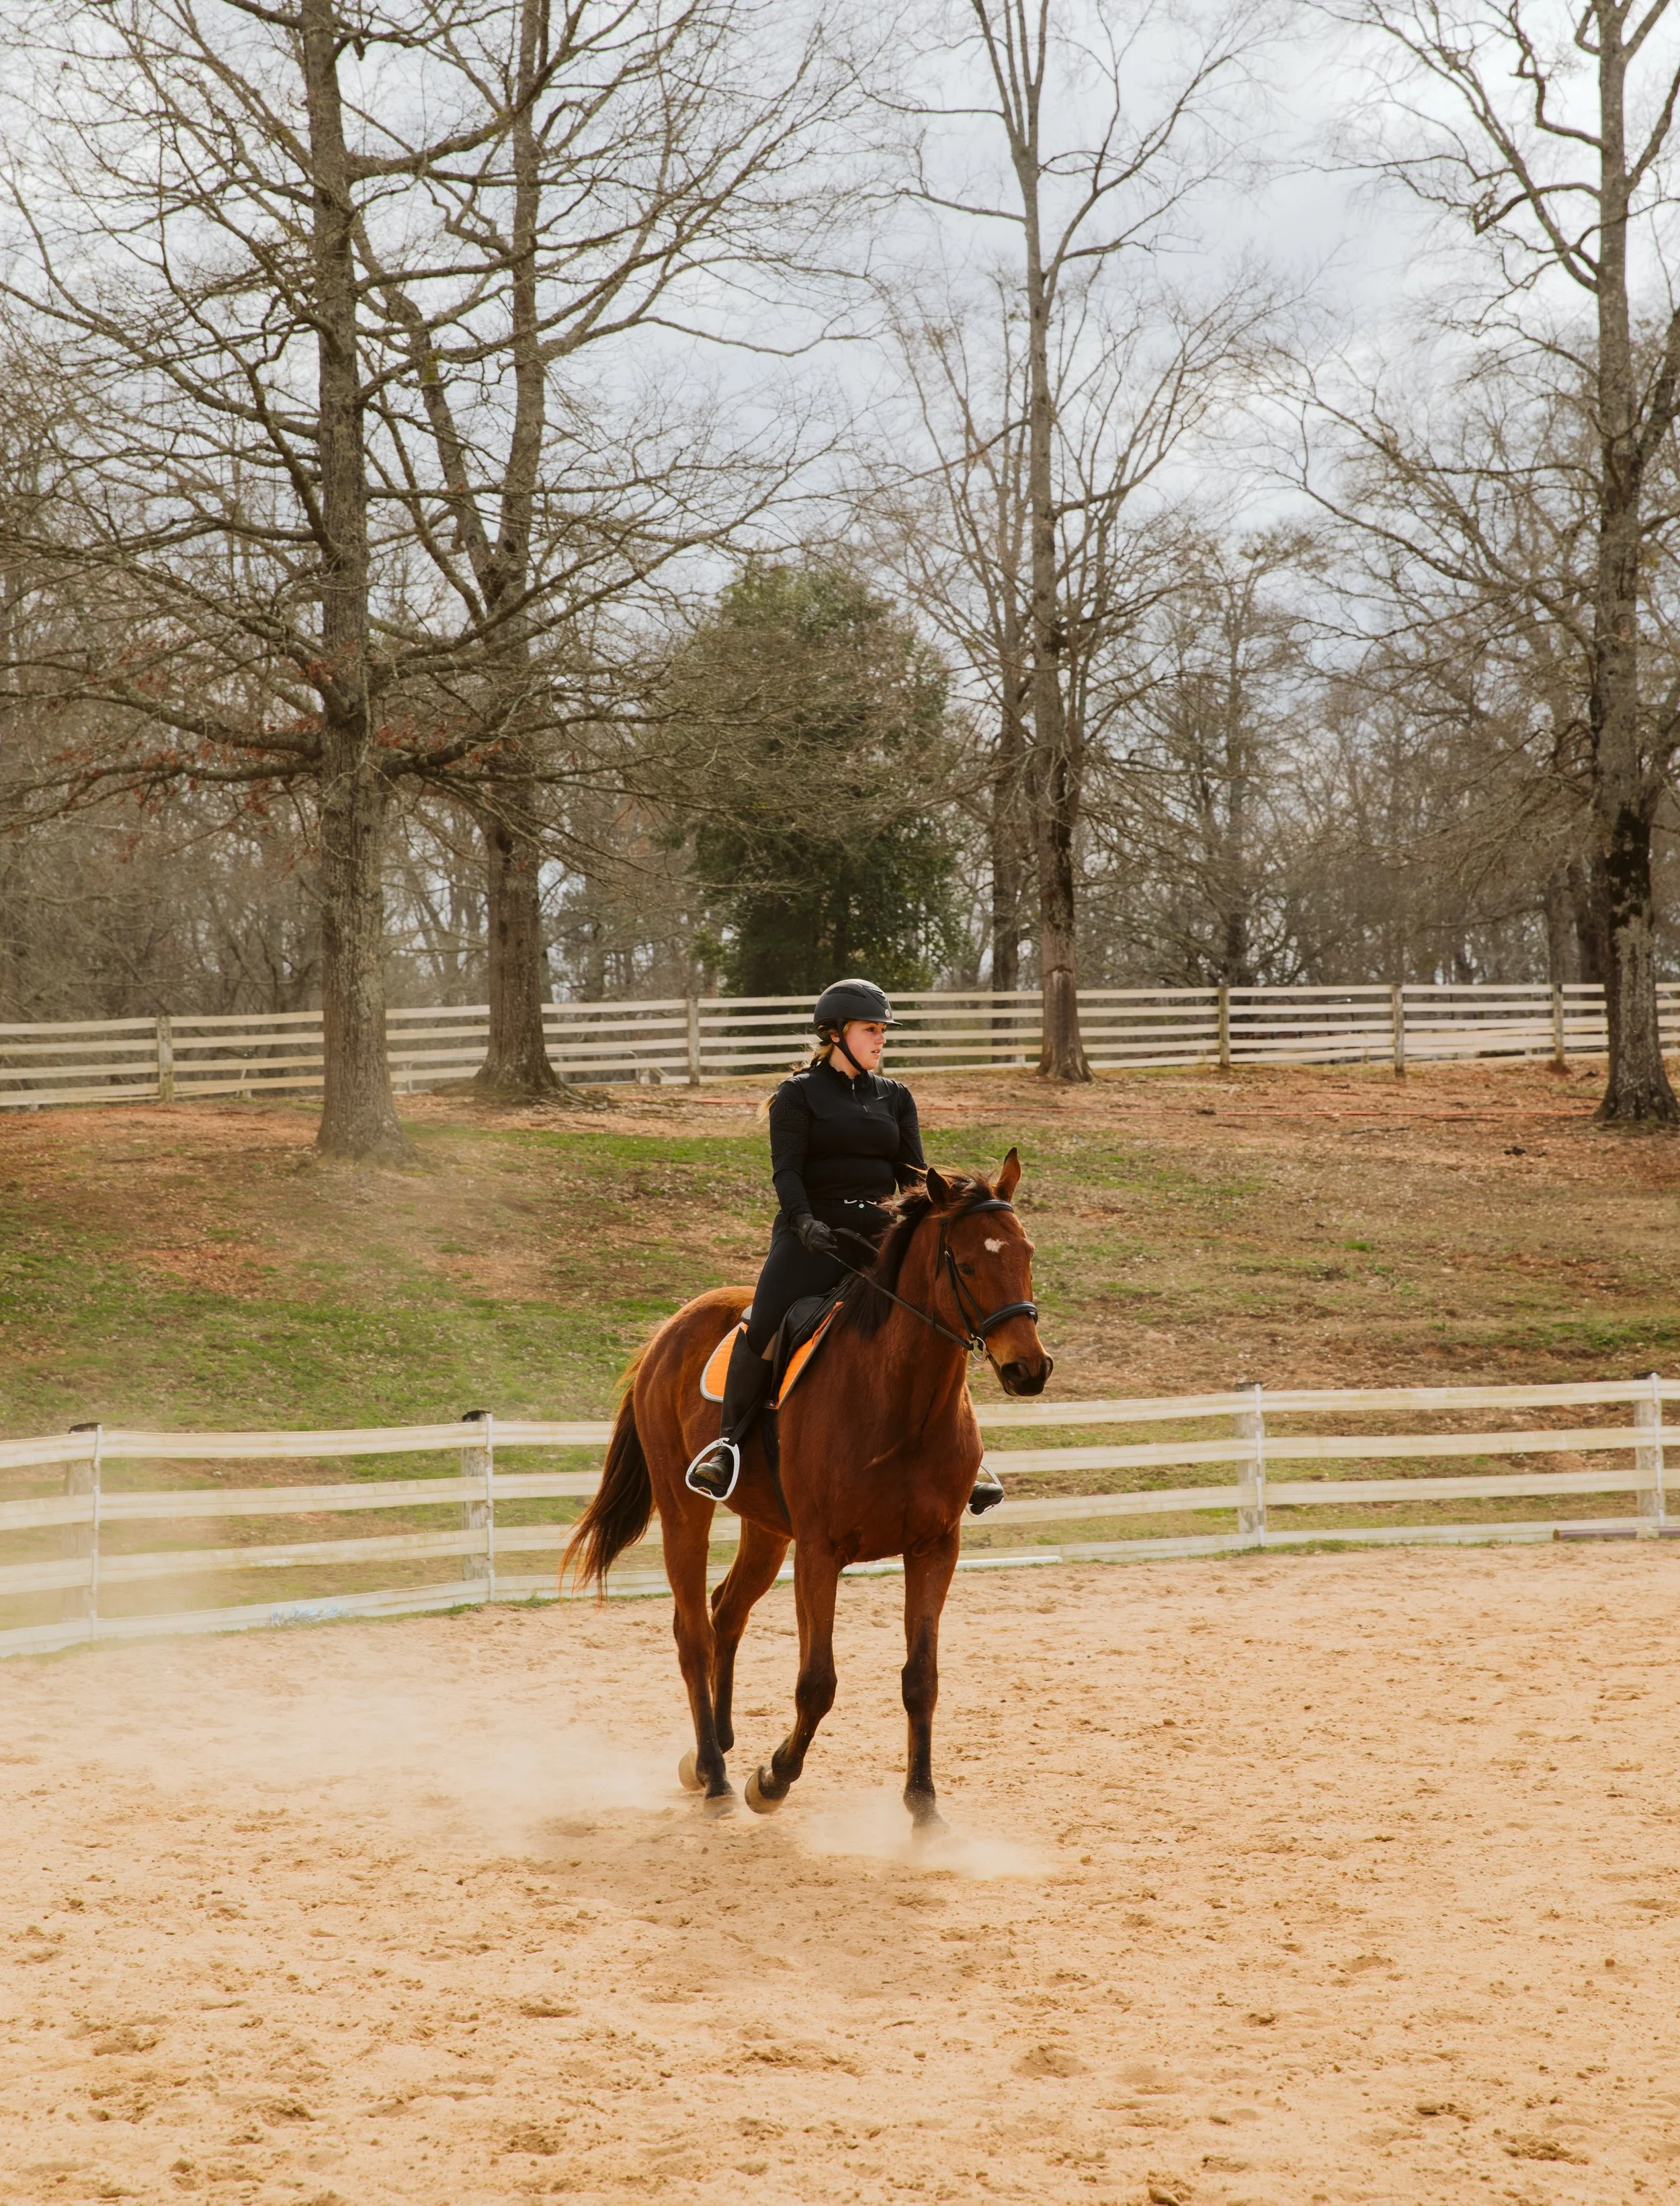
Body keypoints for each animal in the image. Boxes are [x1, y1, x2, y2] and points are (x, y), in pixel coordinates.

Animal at [563, 1149, 1052, 1827]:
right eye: (968, 1262)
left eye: (1026, 1251)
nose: (1028, 1369)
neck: (901, 1401)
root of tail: (669, 1329)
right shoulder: (820, 1550)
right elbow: (817, 1682)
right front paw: (771, 1779)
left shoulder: (934, 1546)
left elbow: (921, 1677)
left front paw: (923, 1805)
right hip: (685, 1509)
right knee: (693, 1633)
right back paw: (717, 1774)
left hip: (767, 1529)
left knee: (726, 1612)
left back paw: (714, 1749)